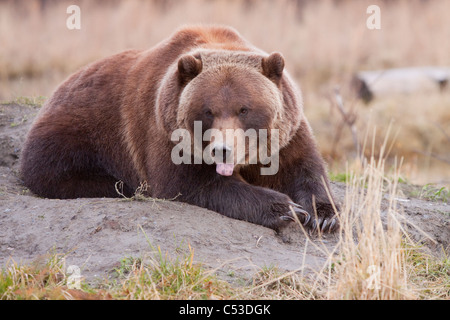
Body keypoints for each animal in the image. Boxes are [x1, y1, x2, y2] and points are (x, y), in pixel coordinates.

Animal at [20, 23, 338, 231]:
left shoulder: (288, 130)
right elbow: (190, 183)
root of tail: (57, 90)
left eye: (244, 109)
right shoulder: (162, 131)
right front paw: (286, 208)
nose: (223, 150)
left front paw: (323, 215)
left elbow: (304, 168)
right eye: (208, 111)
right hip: (76, 131)